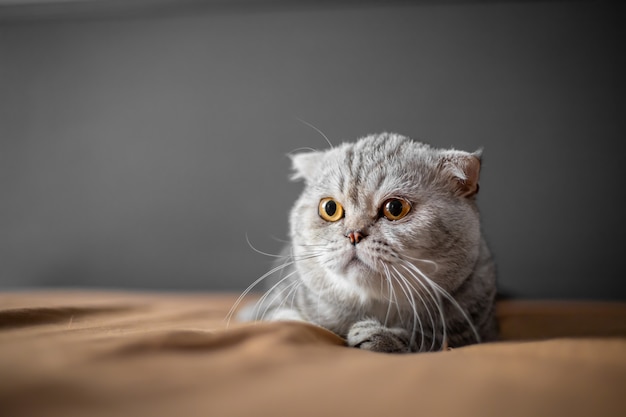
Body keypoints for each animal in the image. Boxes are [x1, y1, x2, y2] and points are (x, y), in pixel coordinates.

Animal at [235, 132, 498, 352]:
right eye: (329, 208)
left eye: (395, 208)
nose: (353, 234)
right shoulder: (271, 305)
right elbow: (281, 318)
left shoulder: (474, 329)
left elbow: (429, 338)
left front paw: (382, 336)